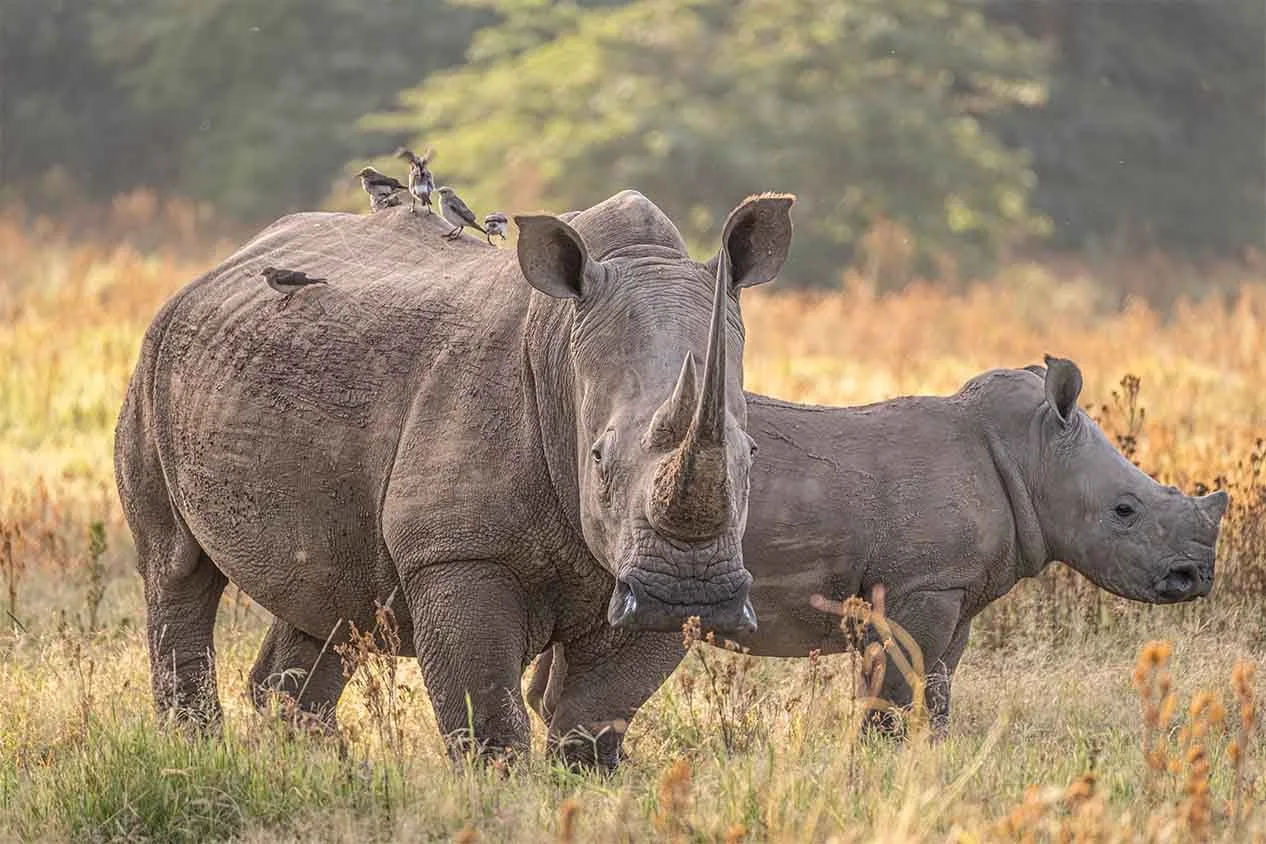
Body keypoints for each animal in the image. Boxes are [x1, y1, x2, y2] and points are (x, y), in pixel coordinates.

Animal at [113, 190, 795, 768]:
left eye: (753, 454)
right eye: (598, 458)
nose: (689, 595)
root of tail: (217, 268)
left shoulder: (641, 575)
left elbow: (595, 714)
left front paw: (583, 785)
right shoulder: (457, 553)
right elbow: (486, 711)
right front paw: (499, 796)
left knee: (326, 596)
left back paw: (320, 766)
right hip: (153, 357)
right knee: (176, 567)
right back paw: (195, 752)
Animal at [527, 358, 1229, 735]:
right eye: (1125, 511)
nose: (1193, 578)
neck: (1032, 455)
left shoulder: (953, 589)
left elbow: (938, 682)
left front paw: (932, 751)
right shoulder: (922, 584)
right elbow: (892, 686)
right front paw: (882, 754)